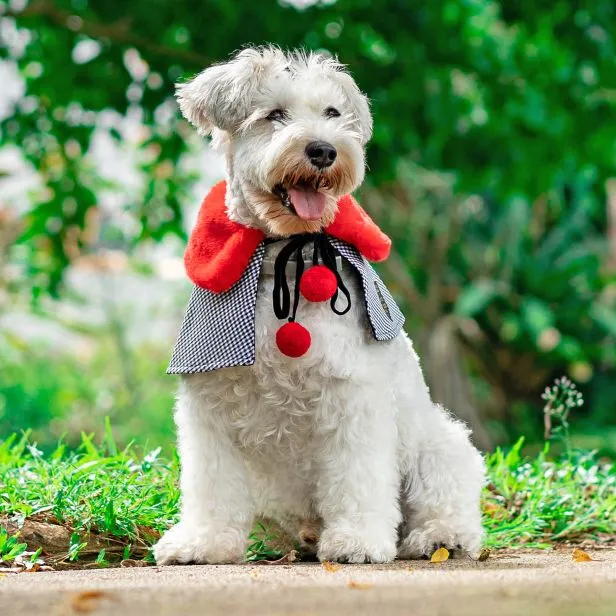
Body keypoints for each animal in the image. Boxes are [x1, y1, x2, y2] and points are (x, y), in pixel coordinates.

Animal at [154, 48, 486, 564]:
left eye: (333, 113)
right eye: (273, 114)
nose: (324, 150)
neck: (285, 258)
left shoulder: (352, 397)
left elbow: (358, 478)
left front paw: (358, 540)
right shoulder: (209, 405)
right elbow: (212, 485)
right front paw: (203, 542)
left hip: (438, 445)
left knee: (447, 502)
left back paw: (438, 537)